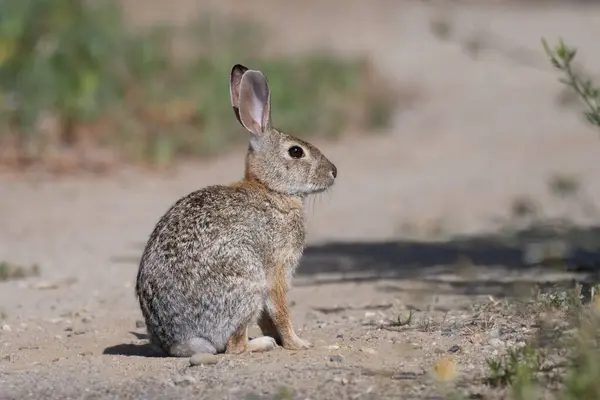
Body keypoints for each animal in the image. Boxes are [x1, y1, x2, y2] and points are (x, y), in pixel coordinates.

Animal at [135, 64, 338, 358]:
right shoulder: (277, 269)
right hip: (246, 281)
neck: (271, 189)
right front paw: (297, 343)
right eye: (296, 152)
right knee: (235, 346)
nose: (334, 172)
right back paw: (262, 344)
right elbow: (280, 310)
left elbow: (268, 317)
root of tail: (181, 342)